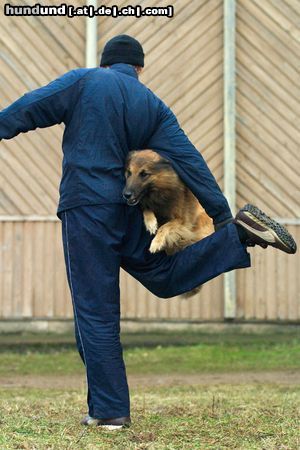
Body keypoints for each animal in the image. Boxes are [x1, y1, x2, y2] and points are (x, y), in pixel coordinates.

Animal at [123, 149, 214, 298]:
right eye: (129, 173)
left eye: (144, 174)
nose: (126, 194)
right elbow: (147, 208)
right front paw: (151, 222)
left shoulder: (181, 220)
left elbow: (166, 227)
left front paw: (156, 242)